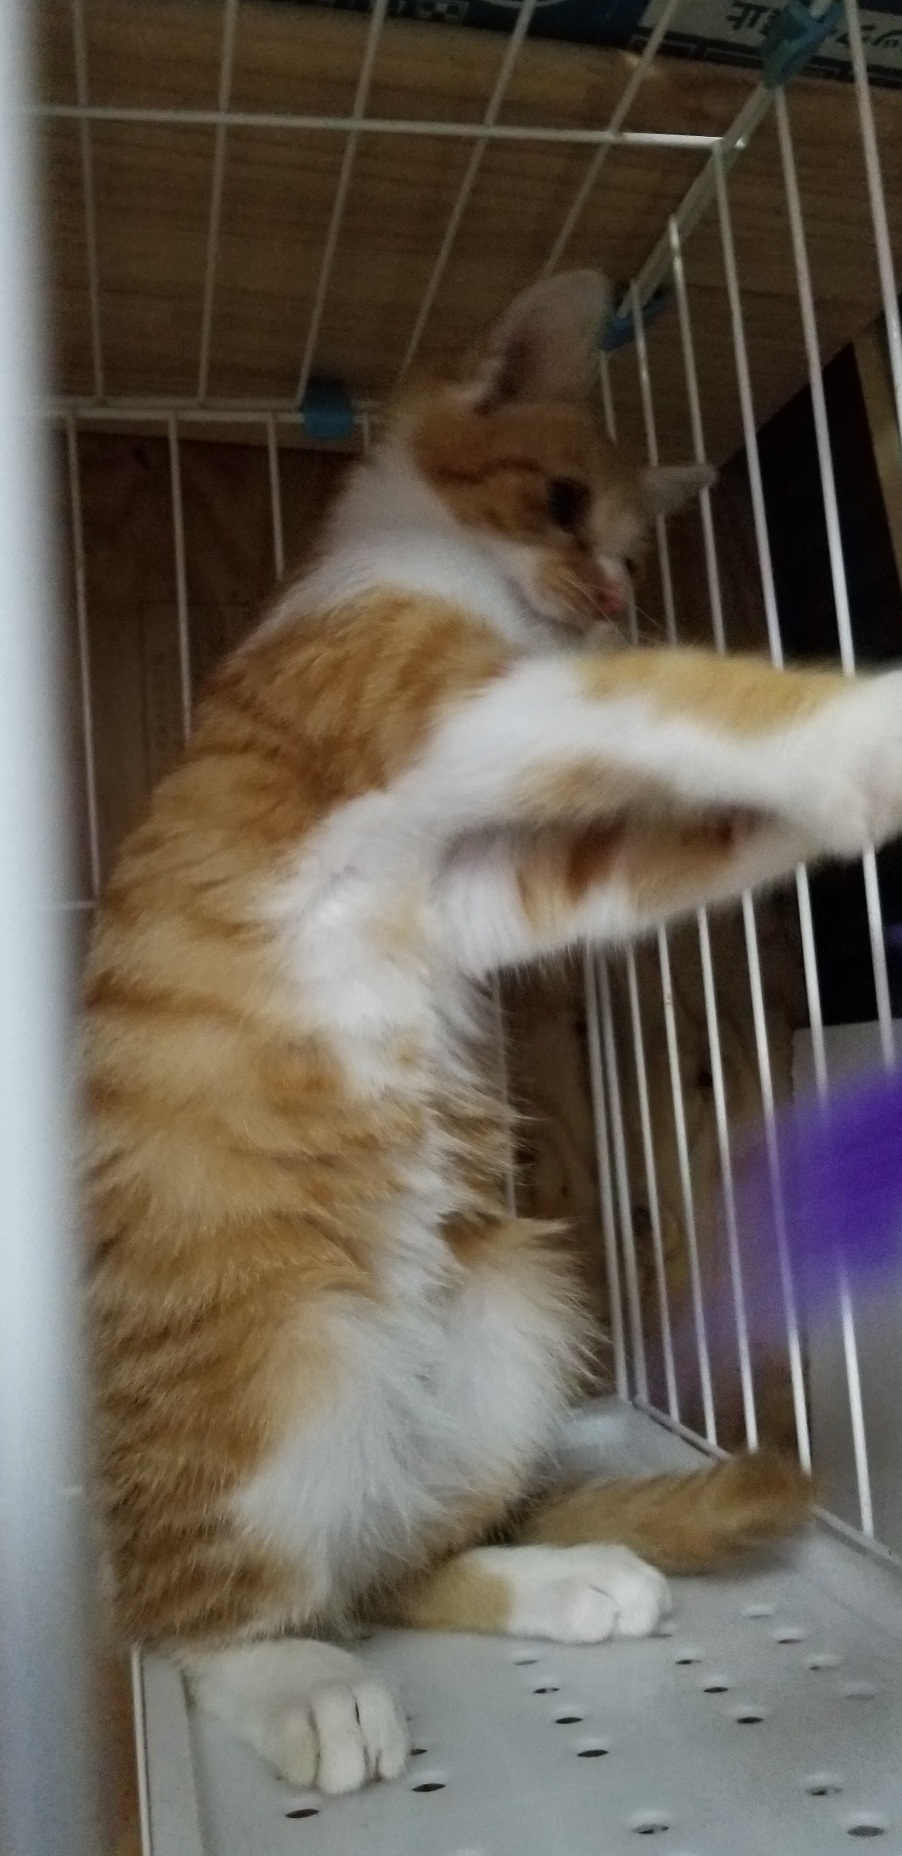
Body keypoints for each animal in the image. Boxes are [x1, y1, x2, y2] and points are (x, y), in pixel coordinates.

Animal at [83, 270, 902, 1799]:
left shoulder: (493, 886)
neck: (431, 566)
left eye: (634, 549)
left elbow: (639, 833)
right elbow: (668, 695)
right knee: (218, 1613)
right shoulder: (440, 700)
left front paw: (796, 811)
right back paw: (298, 1681)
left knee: (408, 1562)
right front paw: (857, 729)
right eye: (564, 502)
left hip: (514, 1302)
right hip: (286, 1369)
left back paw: (561, 1576)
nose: (617, 594)